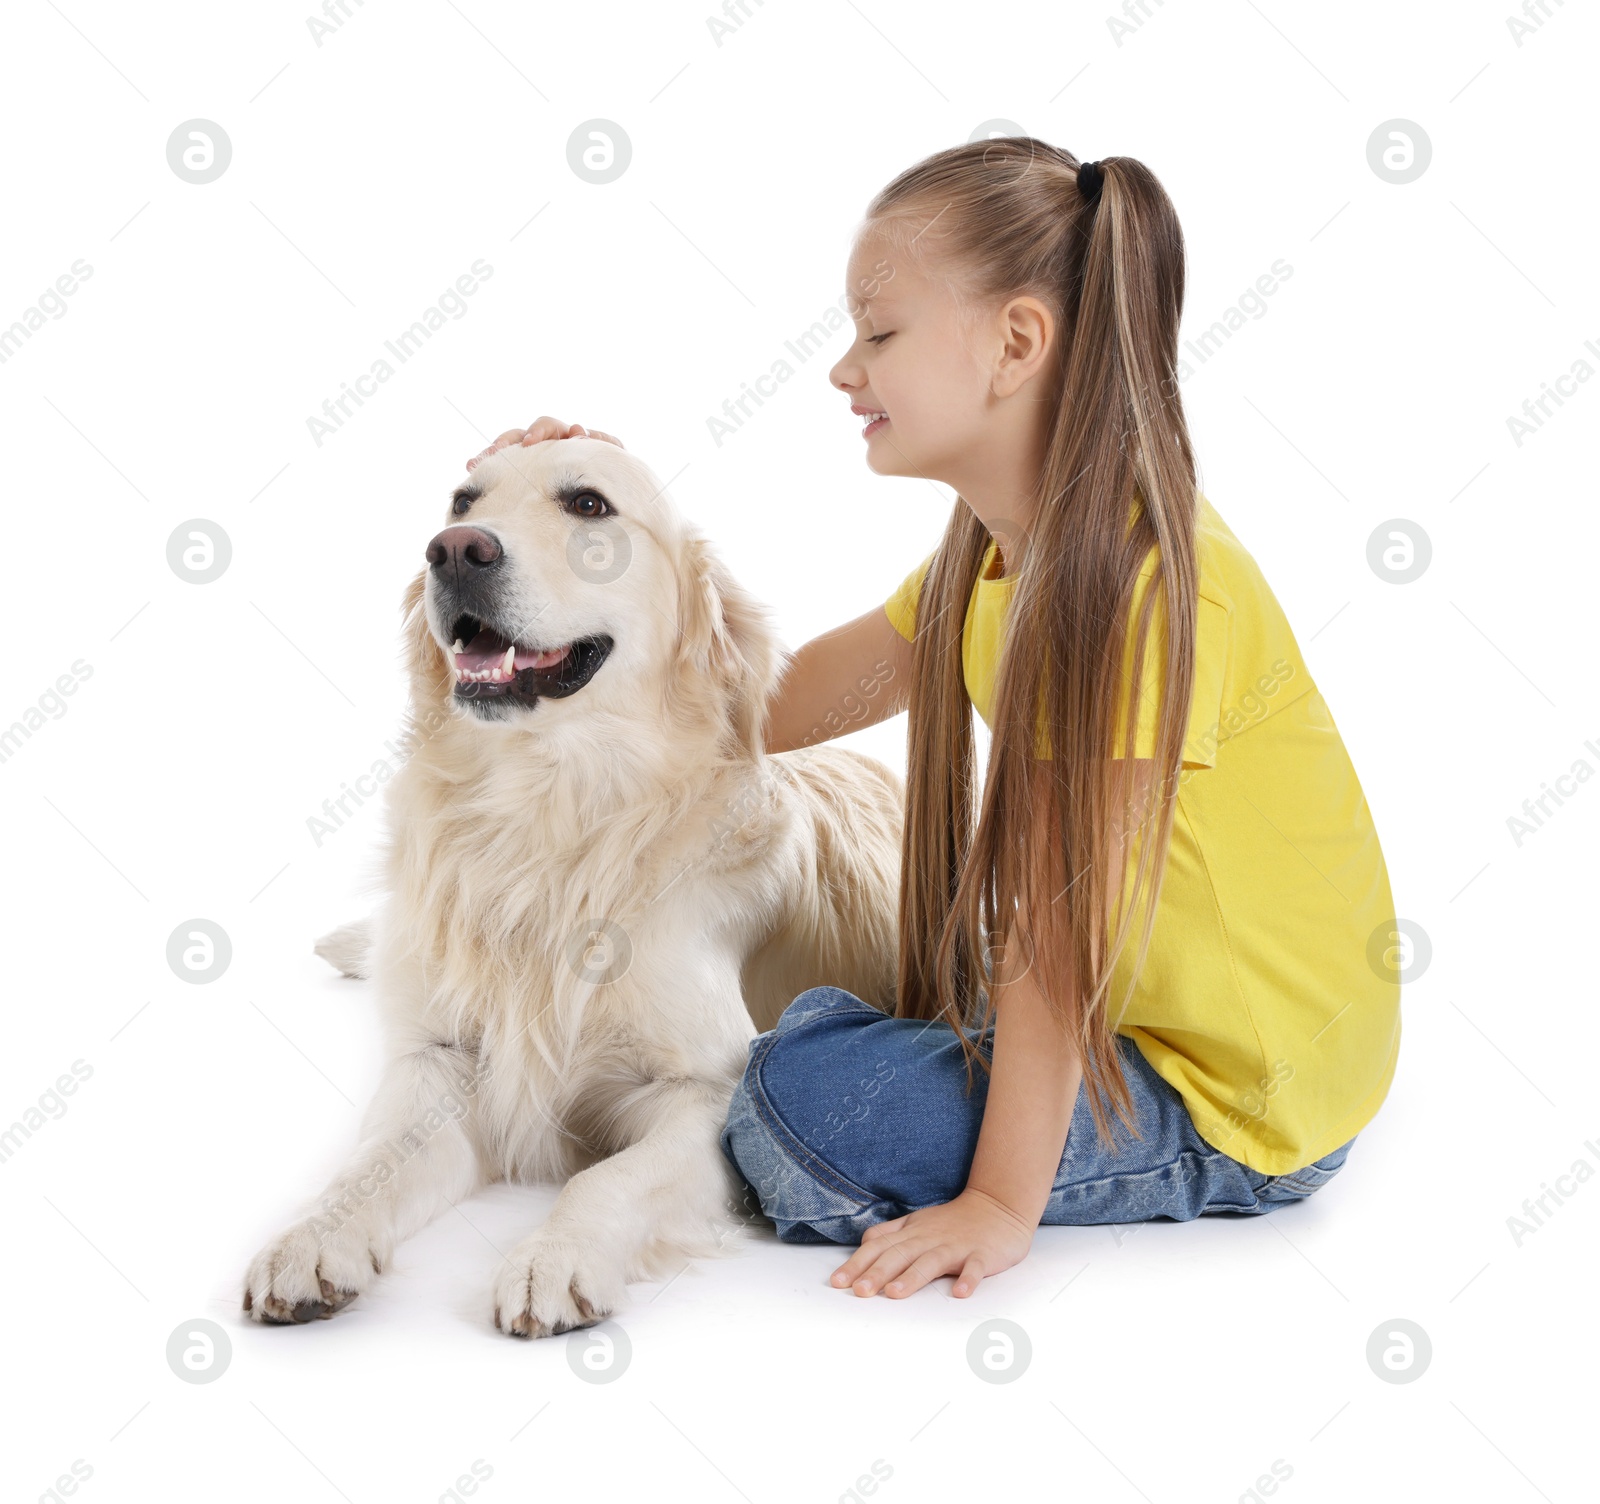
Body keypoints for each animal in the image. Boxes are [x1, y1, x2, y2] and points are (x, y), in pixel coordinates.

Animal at [243, 438, 908, 1337]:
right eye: (461, 503)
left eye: (589, 505)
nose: (455, 551)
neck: (546, 811)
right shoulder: (439, 1062)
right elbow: (370, 1163)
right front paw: (312, 1238)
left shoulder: (711, 1093)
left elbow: (606, 1176)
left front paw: (554, 1256)